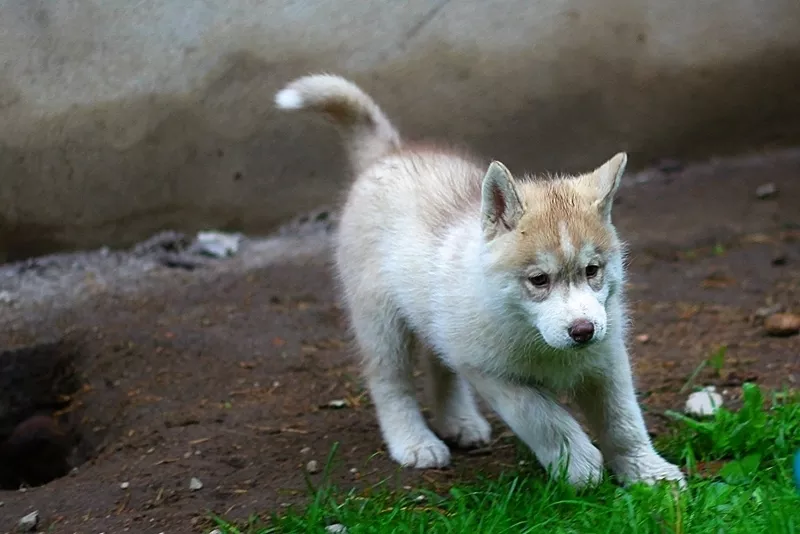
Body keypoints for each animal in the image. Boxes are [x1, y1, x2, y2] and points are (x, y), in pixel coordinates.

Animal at [278, 75, 684, 490]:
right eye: (538, 279)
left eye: (592, 270)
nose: (582, 330)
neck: (533, 335)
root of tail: (390, 154)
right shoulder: (490, 372)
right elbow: (542, 416)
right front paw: (579, 462)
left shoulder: (607, 360)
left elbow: (624, 421)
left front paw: (648, 472)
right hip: (381, 322)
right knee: (390, 381)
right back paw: (413, 440)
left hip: (438, 318)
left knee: (439, 364)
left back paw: (459, 422)